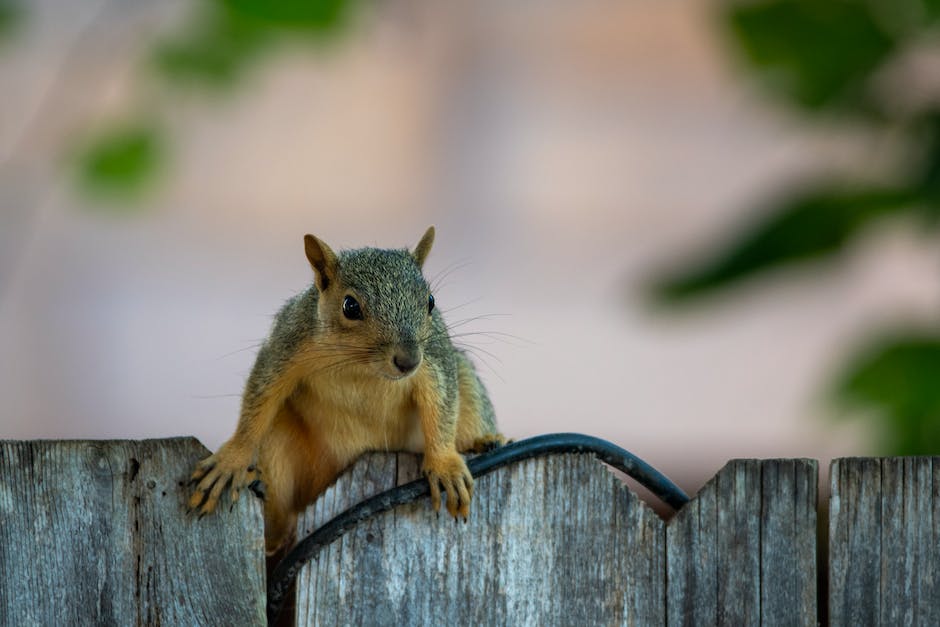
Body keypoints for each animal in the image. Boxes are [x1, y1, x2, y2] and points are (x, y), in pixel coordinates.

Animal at [189, 228, 506, 552]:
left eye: (430, 301)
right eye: (350, 306)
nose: (407, 361)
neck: (361, 367)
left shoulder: (433, 360)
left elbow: (441, 403)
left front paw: (444, 465)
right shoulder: (287, 343)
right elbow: (261, 394)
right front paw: (232, 459)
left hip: (468, 389)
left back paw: (486, 441)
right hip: (279, 447)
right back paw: (273, 534)